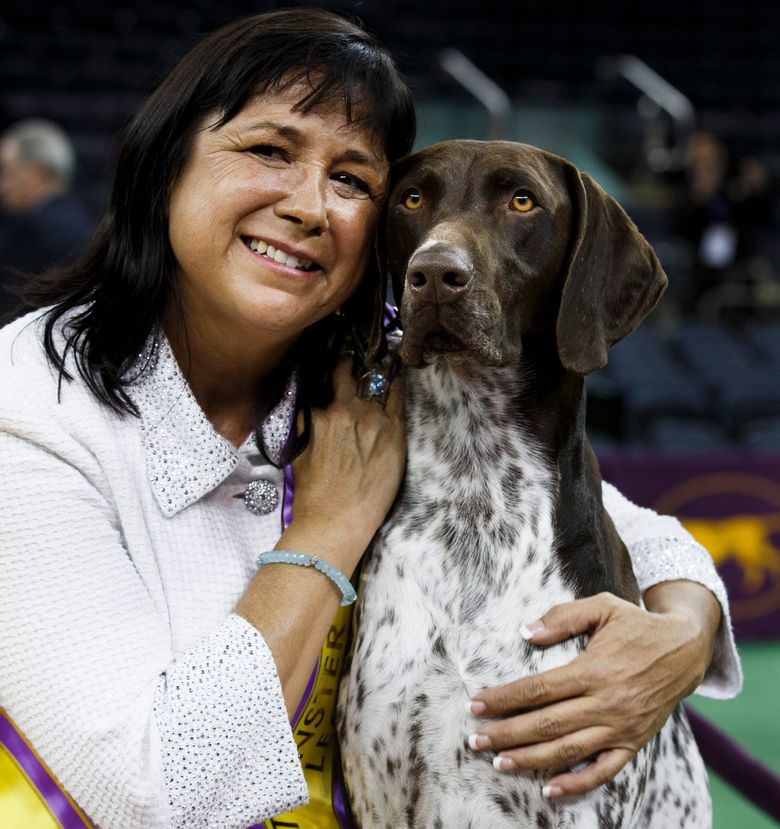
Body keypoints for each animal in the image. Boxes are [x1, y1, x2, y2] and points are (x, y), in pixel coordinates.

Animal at [336, 139, 712, 824]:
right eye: (412, 199)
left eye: (521, 201)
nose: (435, 273)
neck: (477, 485)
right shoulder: (380, 787)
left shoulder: (582, 797)